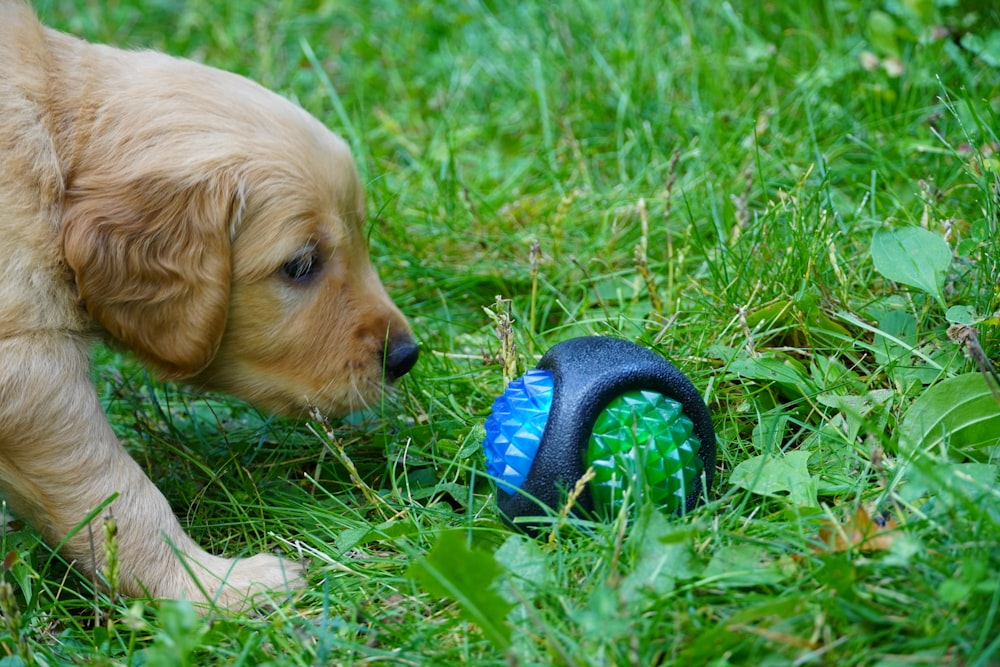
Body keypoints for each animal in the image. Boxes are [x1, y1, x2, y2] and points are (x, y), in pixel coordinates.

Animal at [0, 3, 418, 612]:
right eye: (300, 265)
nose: (406, 357)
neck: (54, 145)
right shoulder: (27, 370)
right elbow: (115, 495)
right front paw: (210, 588)